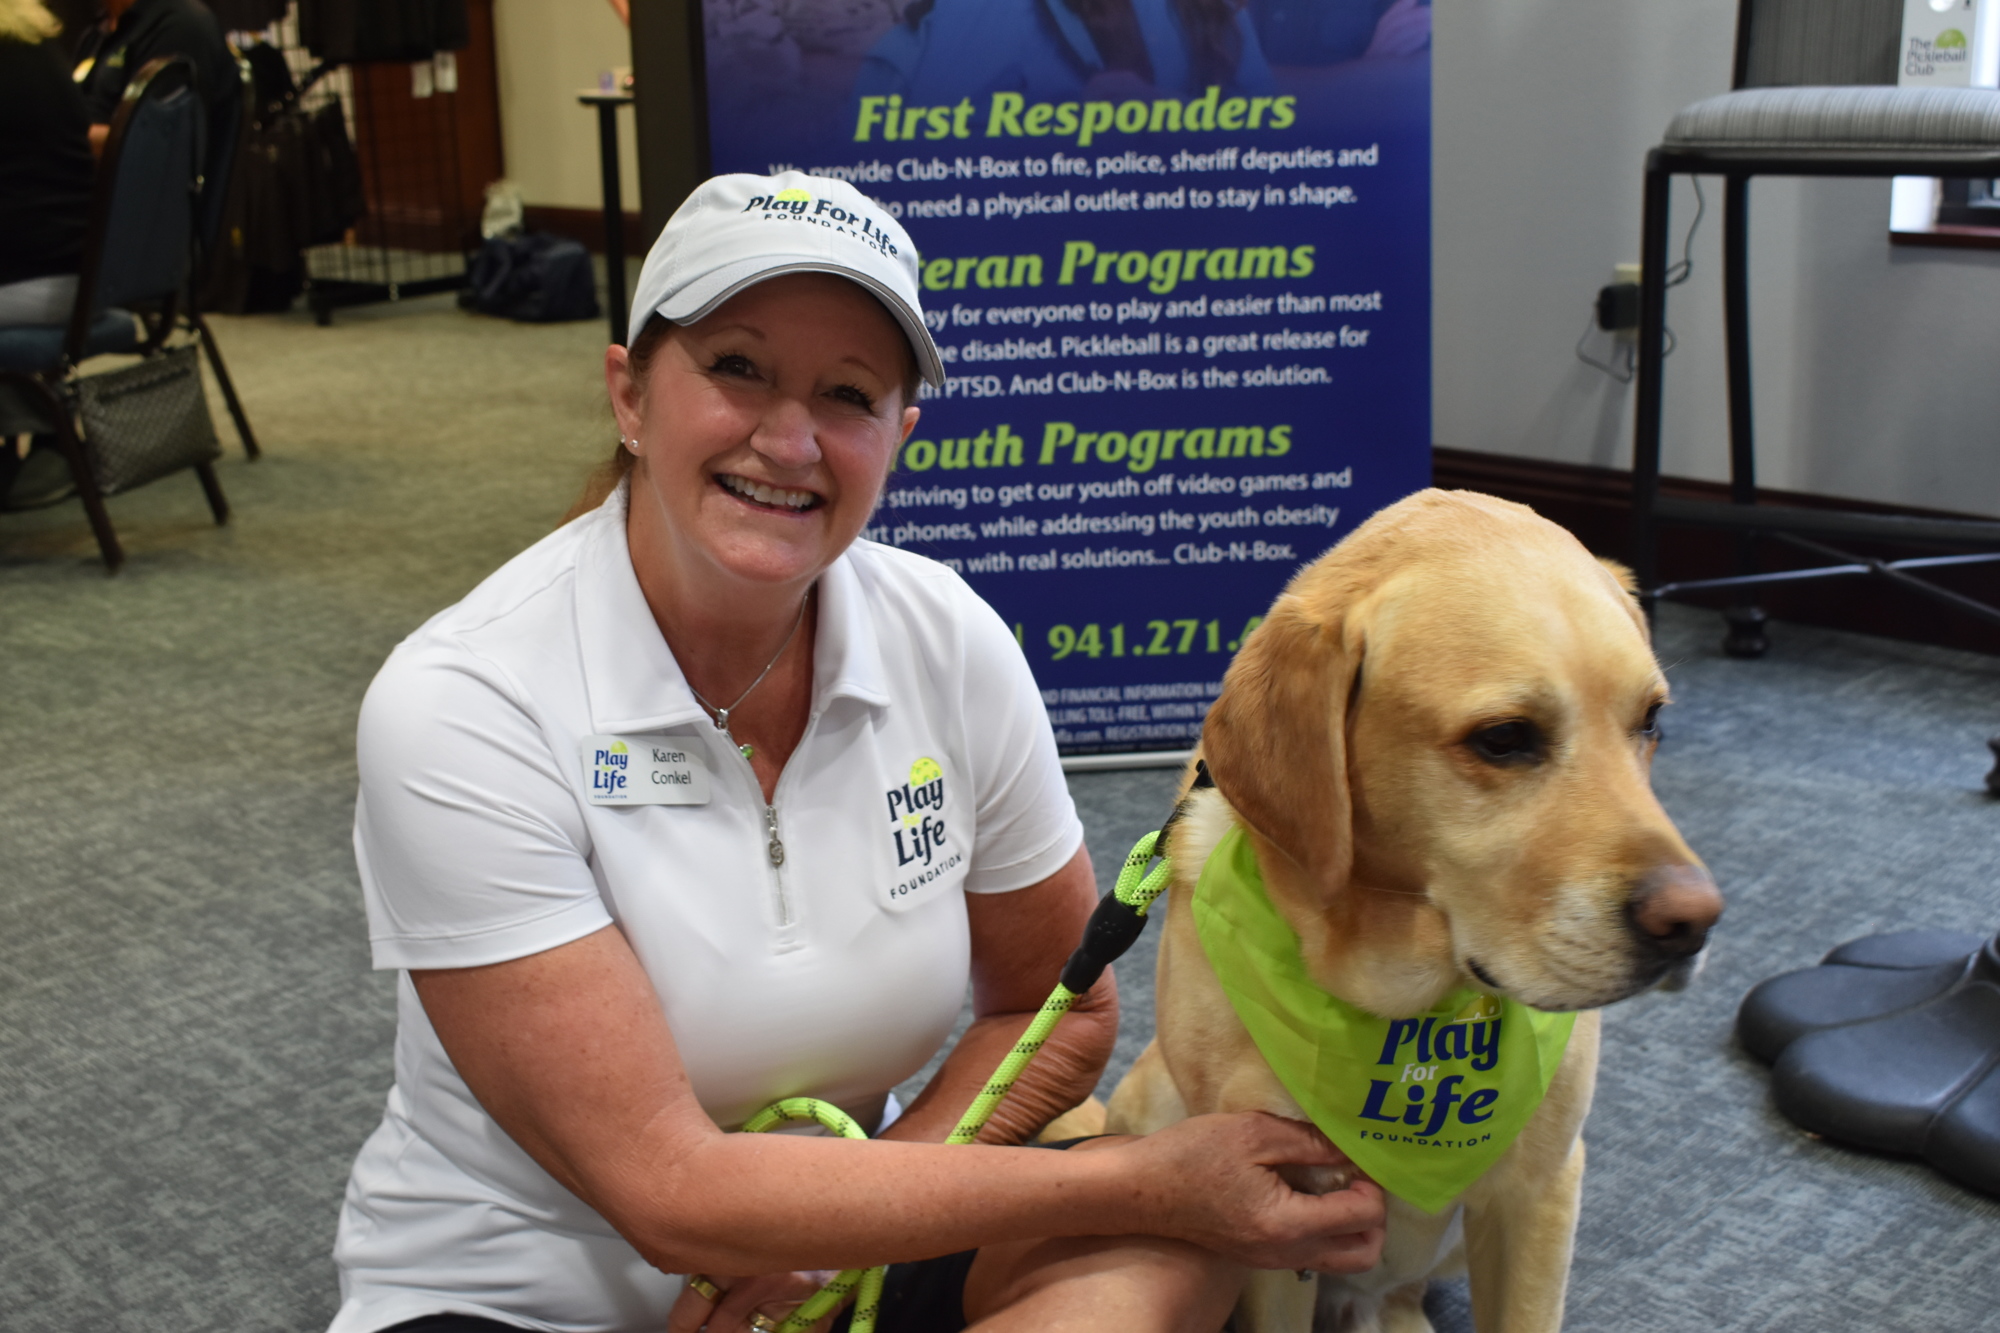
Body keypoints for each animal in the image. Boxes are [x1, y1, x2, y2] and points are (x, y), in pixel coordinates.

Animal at [1112, 488, 1720, 1328]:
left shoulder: (1540, 1191)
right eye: (1504, 738)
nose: (1693, 921)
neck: (1406, 1009)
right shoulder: (1275, 1208)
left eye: (1651, 719)